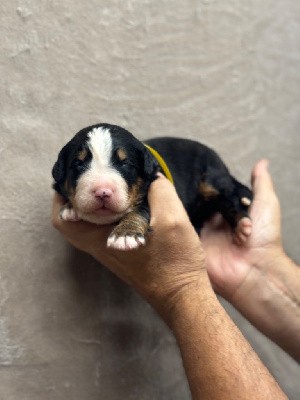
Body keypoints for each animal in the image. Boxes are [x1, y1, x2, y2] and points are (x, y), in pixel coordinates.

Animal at [52, 123, 253, 252]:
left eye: (125, 163)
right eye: (78, 163)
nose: (102, 192)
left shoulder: (154, 183)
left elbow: (141, 208)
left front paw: (125, 234)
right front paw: (70, 208)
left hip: (211, 176)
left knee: (230, 197)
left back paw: (242, 226)